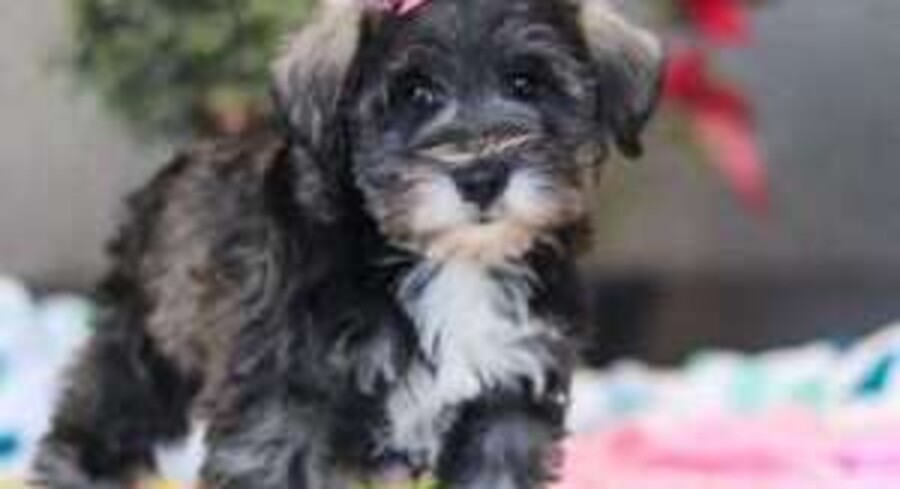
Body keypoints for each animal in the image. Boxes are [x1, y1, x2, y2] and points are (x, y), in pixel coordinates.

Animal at [33, 1, 663, 489]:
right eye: (415, 92)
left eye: (526, 83)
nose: (481, 176)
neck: (447, 261)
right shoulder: (285, 407)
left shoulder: (508, 408)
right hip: (146, 341)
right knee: (102, 417)